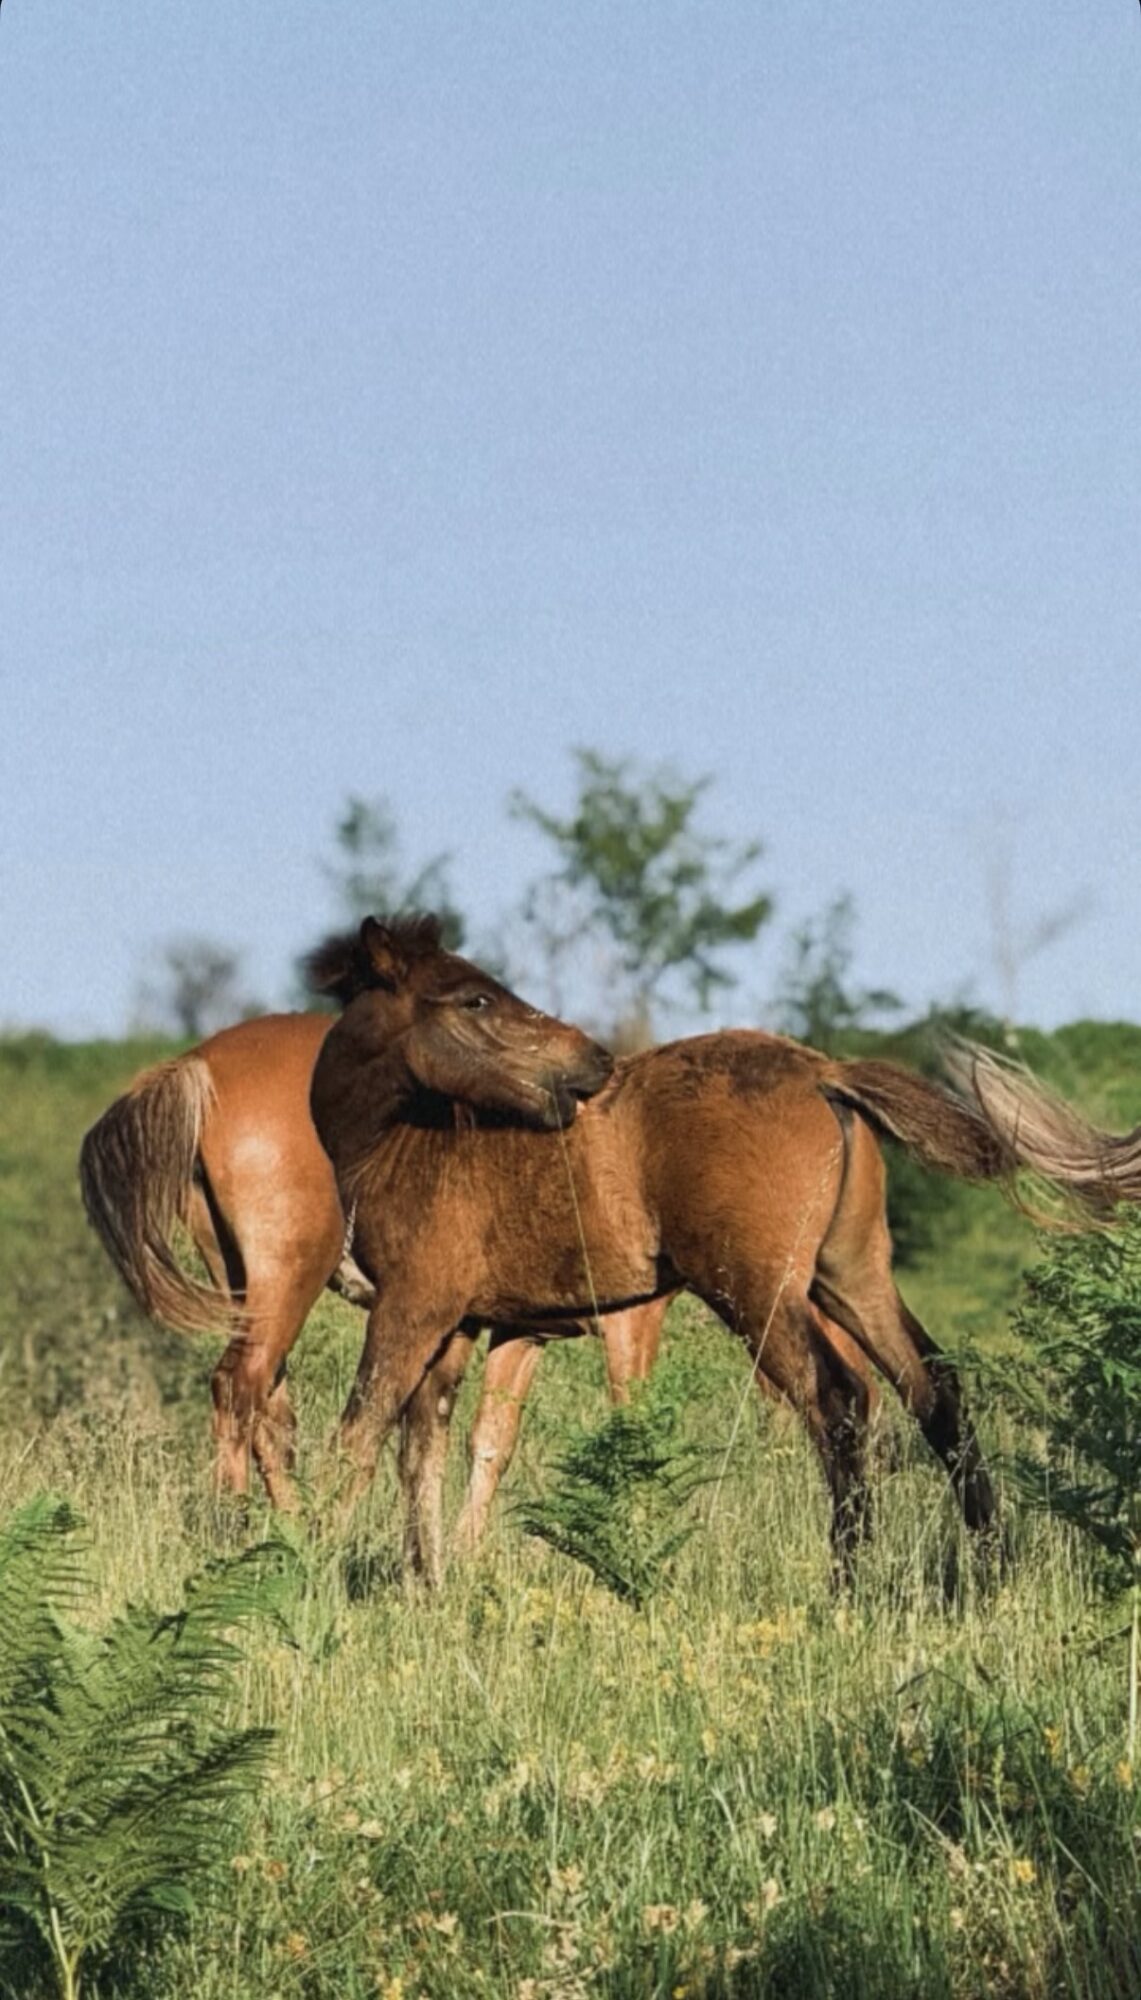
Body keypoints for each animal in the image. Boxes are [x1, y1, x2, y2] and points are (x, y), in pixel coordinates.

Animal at [306, 914, 1046, 1578]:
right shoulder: (472, 1322)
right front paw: (425, 1582)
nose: (593, 1062)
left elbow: (358, 1436)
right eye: (475, 999)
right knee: (933, 1388)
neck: (397, 1145)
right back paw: (993, 1566)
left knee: (838, 1399)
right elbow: (424, 1447)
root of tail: (823, 1073)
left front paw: (304, 1568)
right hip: (850, 1273)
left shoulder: (414, 1306)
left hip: (756, 1288)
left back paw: (850, 1580)